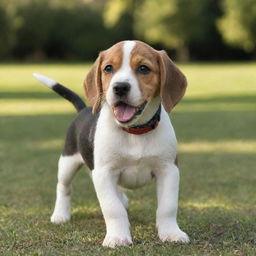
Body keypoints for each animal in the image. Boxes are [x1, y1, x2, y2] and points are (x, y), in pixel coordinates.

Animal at [33, 40, 189, 248]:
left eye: (143, 68)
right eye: (108, 68)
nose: (120, 87)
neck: (134, 132)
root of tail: (84, 109)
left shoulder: (168, 169)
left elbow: (168, 206)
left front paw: (171, 233)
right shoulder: (104, 173)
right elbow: (112, 208)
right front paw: (117, 237)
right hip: (67, 162)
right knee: (63, 187)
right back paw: (60, 214)